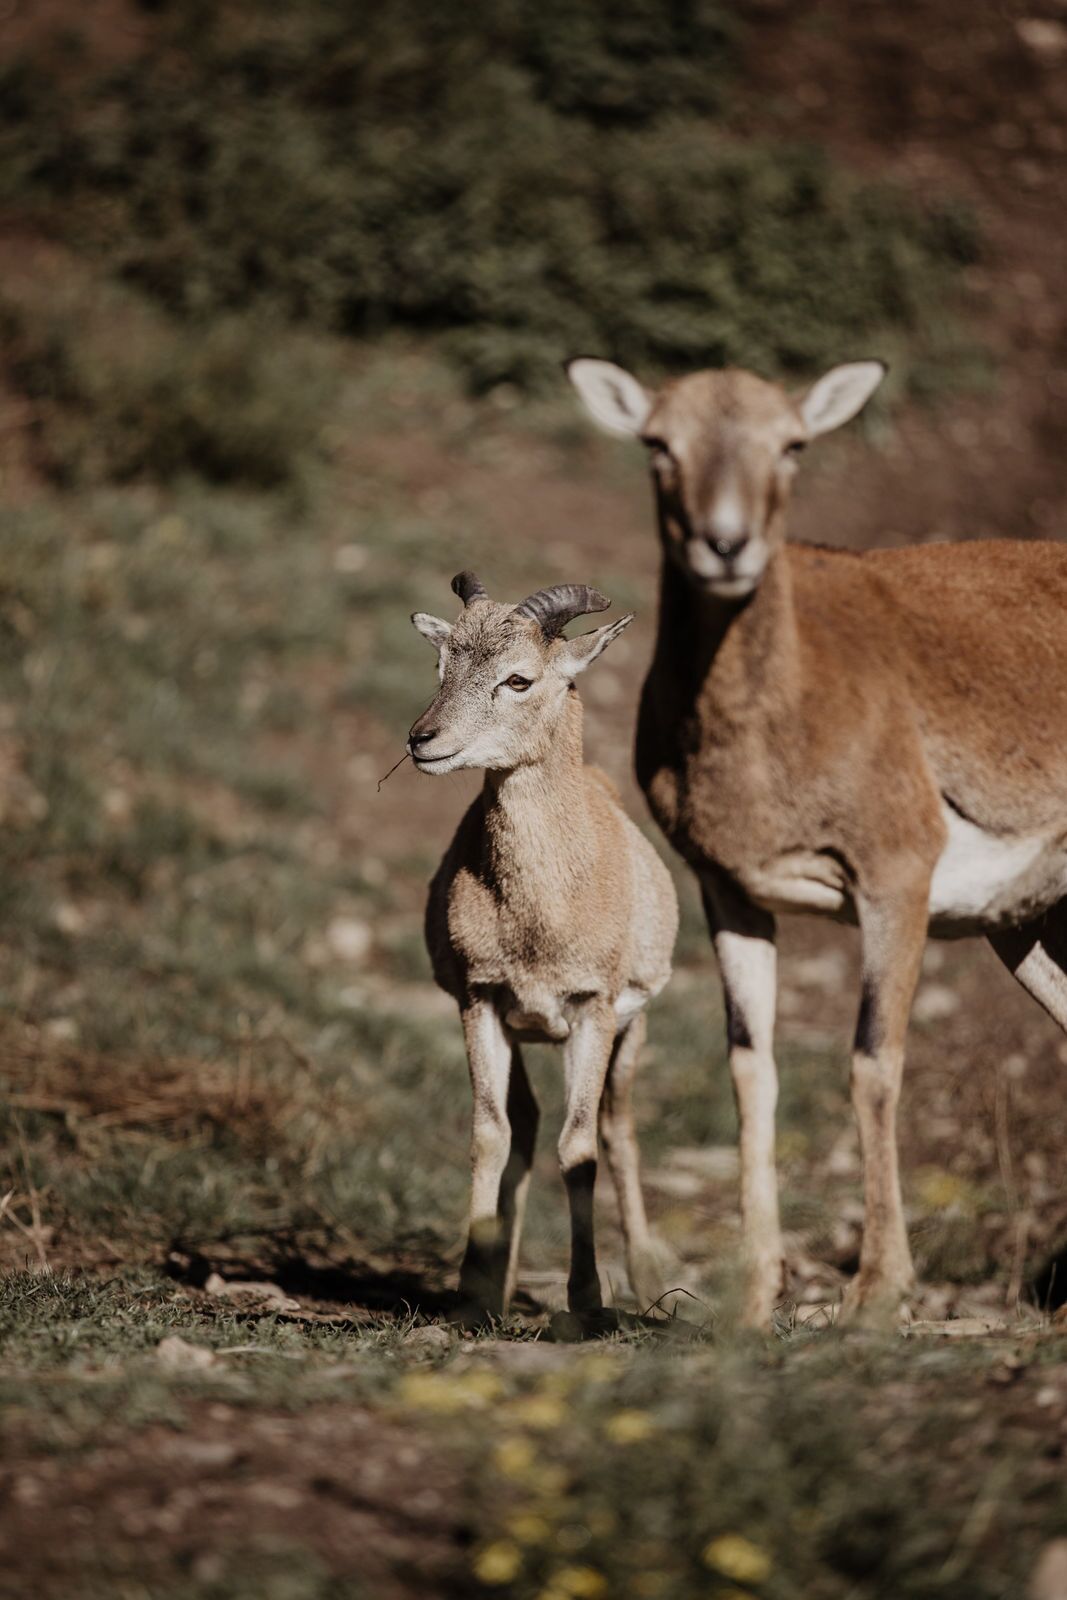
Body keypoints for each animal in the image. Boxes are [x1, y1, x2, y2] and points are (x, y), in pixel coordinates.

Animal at [408, 572, 678, 1321]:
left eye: (519, 678)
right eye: (442, 664)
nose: (422, 740)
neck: (539, 914)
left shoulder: (591, 1010)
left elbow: (579, 1143)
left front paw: (586, 1302)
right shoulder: (480, 1001)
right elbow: (491, 1134)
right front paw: (470, 1297)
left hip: (629, 1032)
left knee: (617, 1128)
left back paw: (646, 1275)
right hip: (525, 1032)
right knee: (524, 1126)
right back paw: (496, 1285)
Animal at [567, 355, 1067, 1328]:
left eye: (792, 444)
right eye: (658, 443)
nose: (725, 545)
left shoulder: (893, 882)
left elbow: (872, 1063)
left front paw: (875, 1292)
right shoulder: (734, 896)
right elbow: (750, 1069)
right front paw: (755, 1293)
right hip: (1028, 927)